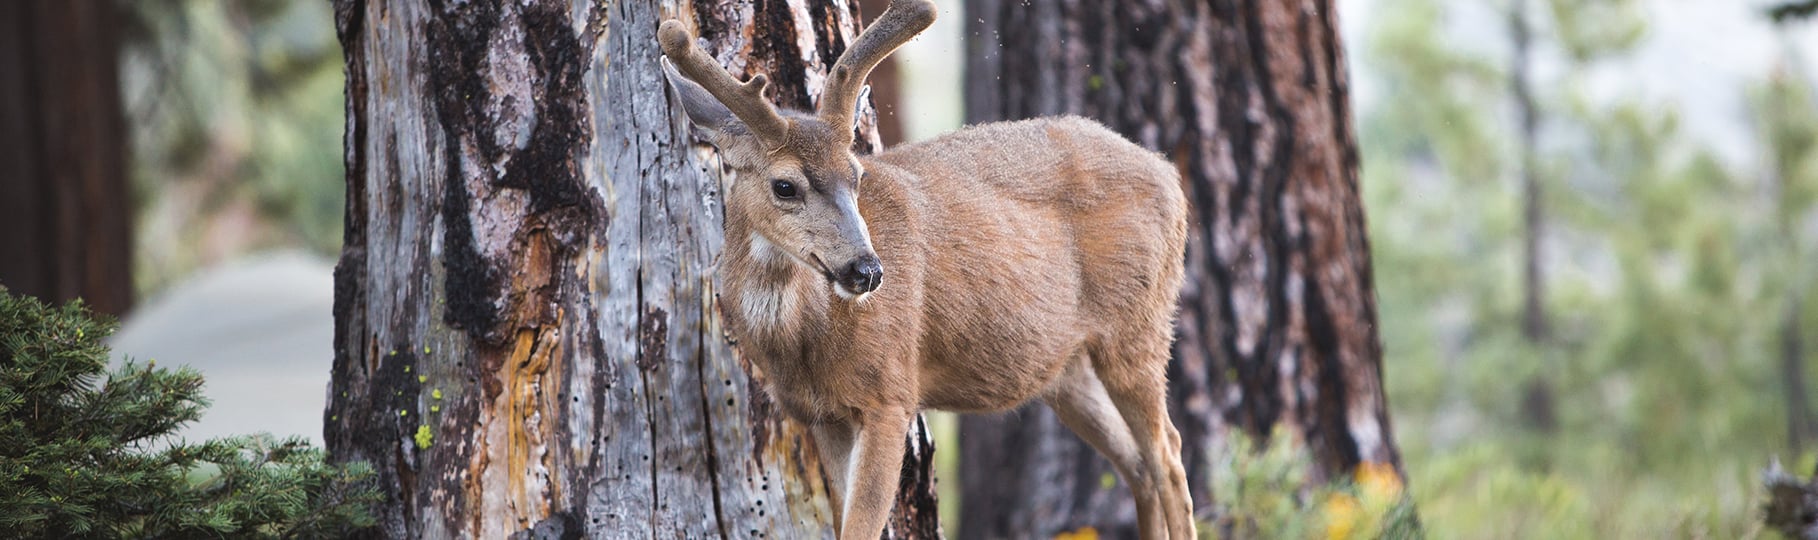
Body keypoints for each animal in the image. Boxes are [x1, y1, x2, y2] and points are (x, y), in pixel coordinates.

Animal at [661, 2, 1199, 534]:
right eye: (784, 186)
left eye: (857, 175)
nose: (867, 270)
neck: (806, 341)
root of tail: (1171, 176)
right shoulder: (821, 415)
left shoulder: (890, 394)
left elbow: (861, 526)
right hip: (1067, 370)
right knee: (1138, 465)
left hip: (1138, 324)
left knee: (1169, 456)